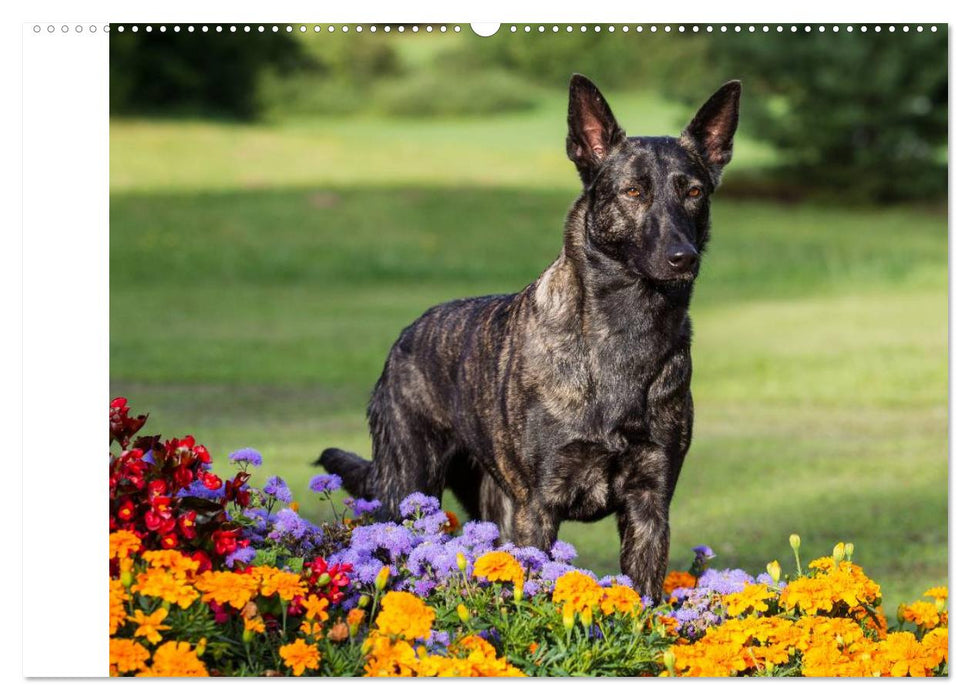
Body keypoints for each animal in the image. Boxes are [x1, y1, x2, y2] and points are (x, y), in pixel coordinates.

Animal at [316, 74, 740, 600]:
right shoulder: (539, 508)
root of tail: (406, 336)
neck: (623, 331)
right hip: (409, 488)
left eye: (695, 191)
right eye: (633, 191)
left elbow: (642, 603)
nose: (683, 257)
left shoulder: (649, 506)